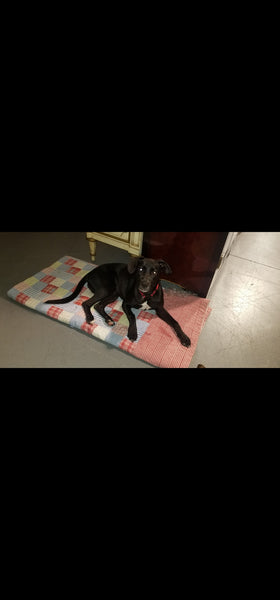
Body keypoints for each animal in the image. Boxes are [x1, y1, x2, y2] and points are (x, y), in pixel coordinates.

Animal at [44, 256, 191, 346]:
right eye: (140, 269)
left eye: (155, 272)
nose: (143, 286)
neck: (146, 295)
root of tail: (91, 271)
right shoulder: (125, 303)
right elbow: (132, 317)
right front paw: (133, 332)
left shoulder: (160, 309)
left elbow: (175, 322)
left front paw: (184, 337)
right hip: (106, 289)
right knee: (87, 303)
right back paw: (90, 318)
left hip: (113, 293)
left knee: (98, 305)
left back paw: (108, 319)